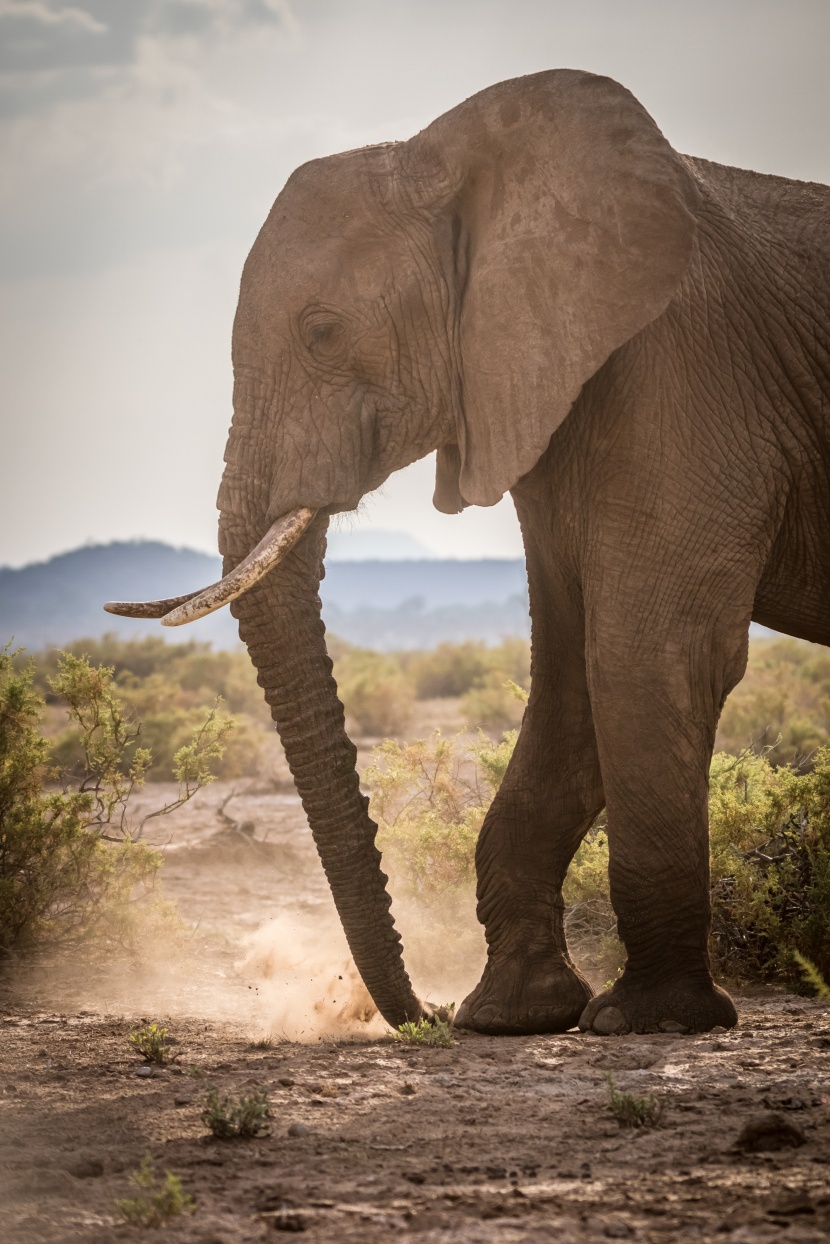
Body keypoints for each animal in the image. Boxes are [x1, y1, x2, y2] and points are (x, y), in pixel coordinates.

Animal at [108, 70, 830, 1039]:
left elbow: (646, 657)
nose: (424, 1012)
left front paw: (649, 1020)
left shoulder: (686, 371)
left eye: (324, 333)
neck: (460, 157)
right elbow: (570, 677)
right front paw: (513, 1015)